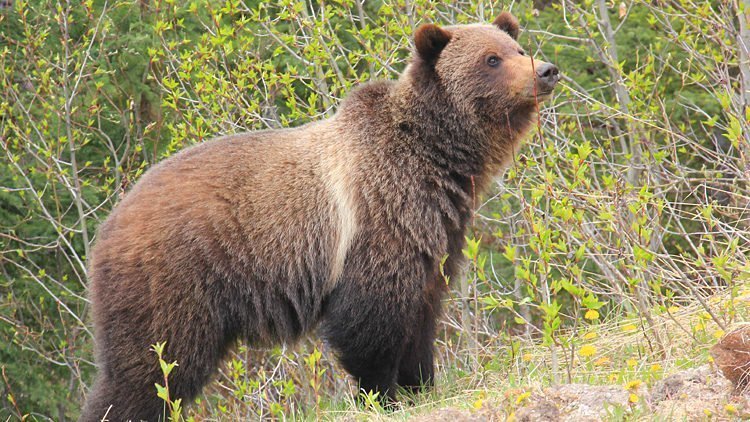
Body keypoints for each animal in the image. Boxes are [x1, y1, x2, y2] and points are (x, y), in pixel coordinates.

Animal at [81, 11, 559, 421]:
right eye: (492, 58)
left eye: (517, 48)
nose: (546, 70)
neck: (435, 158)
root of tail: (108, 224)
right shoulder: (376, 219)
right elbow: (370, 323)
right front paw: (383, 395)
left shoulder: (437, 234)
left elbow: (422, 316)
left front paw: (421, 384)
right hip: (174, 280)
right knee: (152, 366)